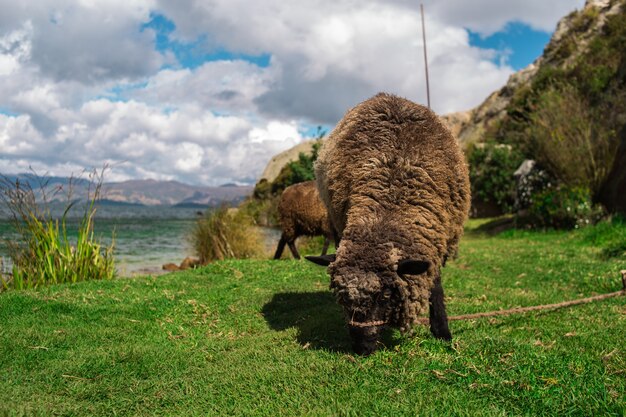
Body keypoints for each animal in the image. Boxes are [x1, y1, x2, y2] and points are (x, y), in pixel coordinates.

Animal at [304, 93, 470, 354]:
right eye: (342, 296)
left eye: (384, 296)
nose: (361, 348)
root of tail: (385, 95)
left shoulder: (437, 239)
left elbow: (435, 284)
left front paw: (442, 331)